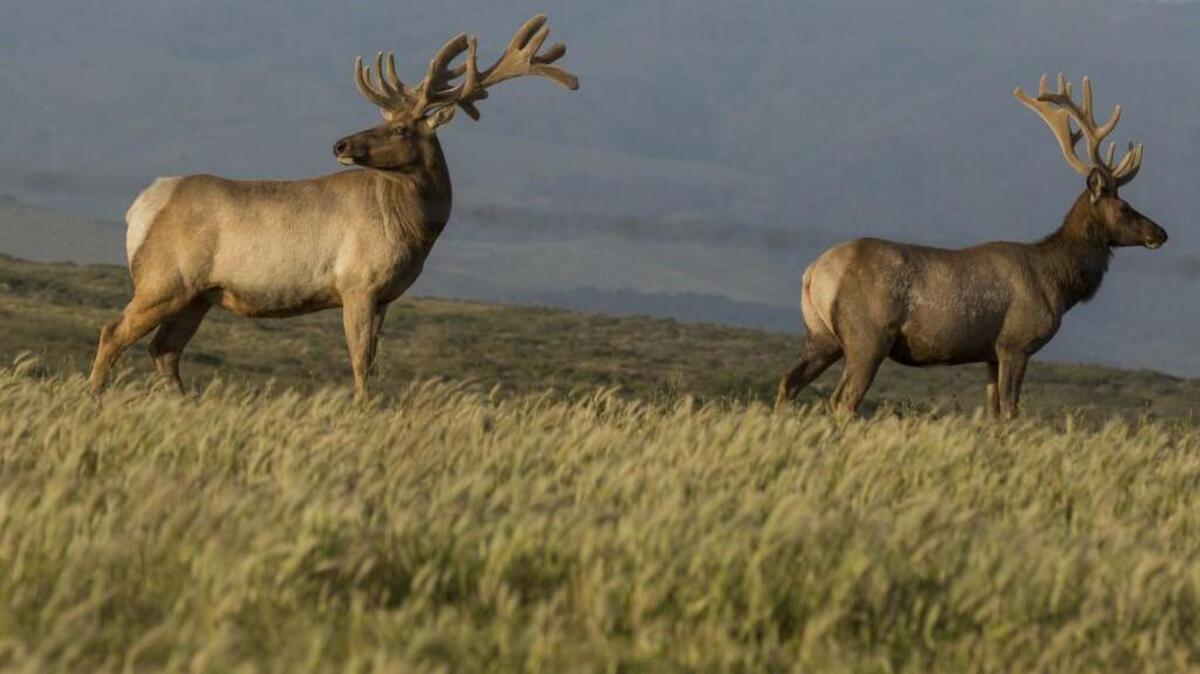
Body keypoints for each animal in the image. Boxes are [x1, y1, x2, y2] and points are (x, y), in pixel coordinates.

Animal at [88, 15, 578, 399]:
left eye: (401, 129)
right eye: (388, 121)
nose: (341, 144)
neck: (415, 228)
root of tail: (141, 208)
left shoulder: (385, 296)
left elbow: (373, 361)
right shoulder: (357, 282)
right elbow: (360, 360)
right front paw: (365, 410)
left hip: (198, 295)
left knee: (164, 350)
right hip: (163, 279)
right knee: (114, 332)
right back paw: (94, 397)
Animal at [775, 75, 1167, 420]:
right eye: (1125, 206)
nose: (1160, 233)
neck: (1057, 281)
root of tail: (813, 273)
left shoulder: (990, 353)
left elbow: (992, 414)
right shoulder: (1015, 343)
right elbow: (1010, 412)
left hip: (821, 335)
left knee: (788, 381)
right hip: (867, 336)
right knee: (842, 400)